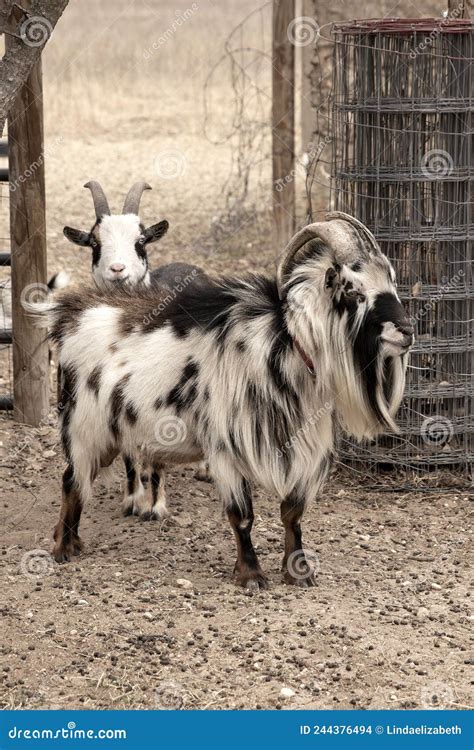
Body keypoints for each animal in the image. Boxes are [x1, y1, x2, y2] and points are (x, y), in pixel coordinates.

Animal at [44, 213, 414, 592]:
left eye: (391, 281)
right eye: (353, 289)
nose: (406, 330)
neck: (282, 341)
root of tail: (71, 316)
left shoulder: (305, 447)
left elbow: (292, 513)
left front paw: (298, 571)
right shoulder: (224, 449)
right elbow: (242, 515)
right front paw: (251, 574)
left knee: (75, 481)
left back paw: (69, 539)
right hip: (85, 429)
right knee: (72, 481)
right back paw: (64, 548)